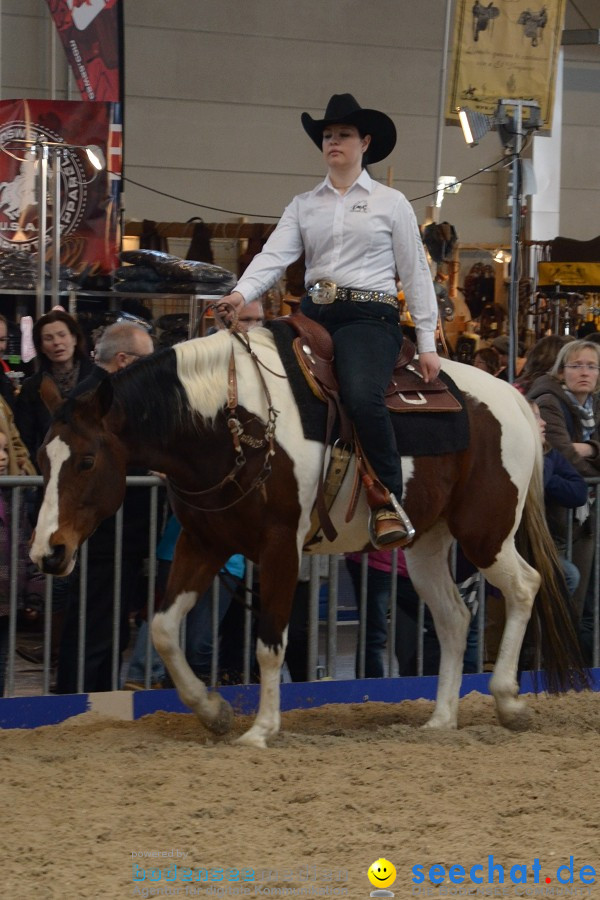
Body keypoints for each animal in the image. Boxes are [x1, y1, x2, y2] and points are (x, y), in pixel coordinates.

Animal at [29, 326, 584, 748]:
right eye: (41, 459)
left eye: (86, 460)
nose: (48, 553)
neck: (229, 423)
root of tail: (513, 397)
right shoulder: (203, 542)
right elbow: (165, 629)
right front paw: (213, 711)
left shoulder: (280, 549)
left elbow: (269, 644)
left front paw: (260, 730)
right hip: (426, 542)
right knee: (453, 617)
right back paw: (441, 720)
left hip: (485, 532)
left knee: (524, 587)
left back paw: (509, 700)